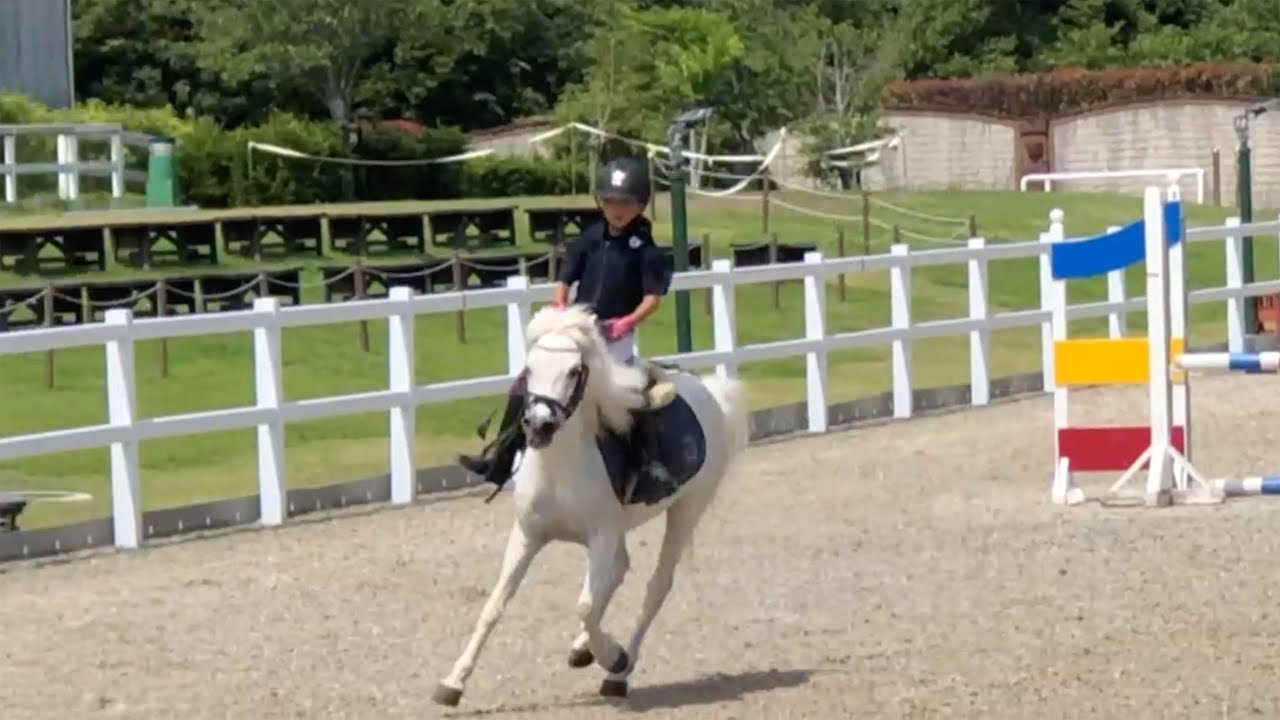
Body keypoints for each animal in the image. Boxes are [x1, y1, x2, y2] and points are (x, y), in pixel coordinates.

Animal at [432, 304, 750, 706]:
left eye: (573, 371)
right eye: (529, 369)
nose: (539, 425)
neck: (559, 466)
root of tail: (709, 392)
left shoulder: (601, 535)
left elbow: (585, 605)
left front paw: (613, 656)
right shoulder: (528, 534)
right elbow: (495, 605)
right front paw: (453, 683)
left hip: (686, 510)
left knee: (655, 587)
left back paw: (618, 673)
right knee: (618, 573)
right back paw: (584, 650)